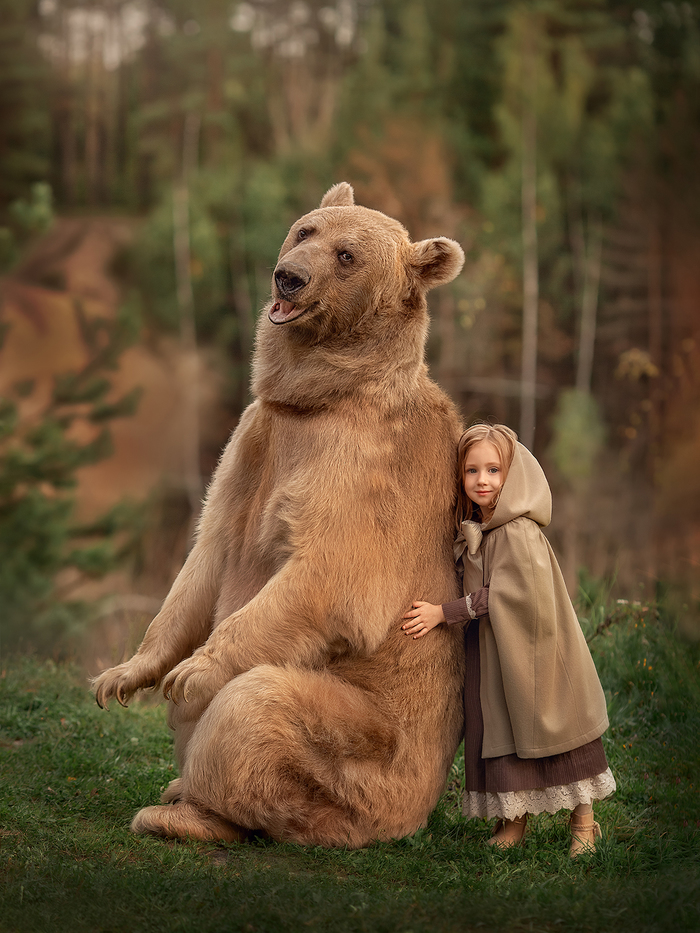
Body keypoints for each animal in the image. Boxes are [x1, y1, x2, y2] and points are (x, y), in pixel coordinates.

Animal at [92, 182, 466, 848]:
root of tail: (412, 816)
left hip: (366, 756)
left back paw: (181, 810)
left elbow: (329, 575)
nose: (288, 277)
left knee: (256, 710)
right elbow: (203, 558)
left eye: (347, 255)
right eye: (305, 230)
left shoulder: (361, 466)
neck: (314, 398)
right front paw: (122, 674)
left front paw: (190, 673)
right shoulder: (252, 443)